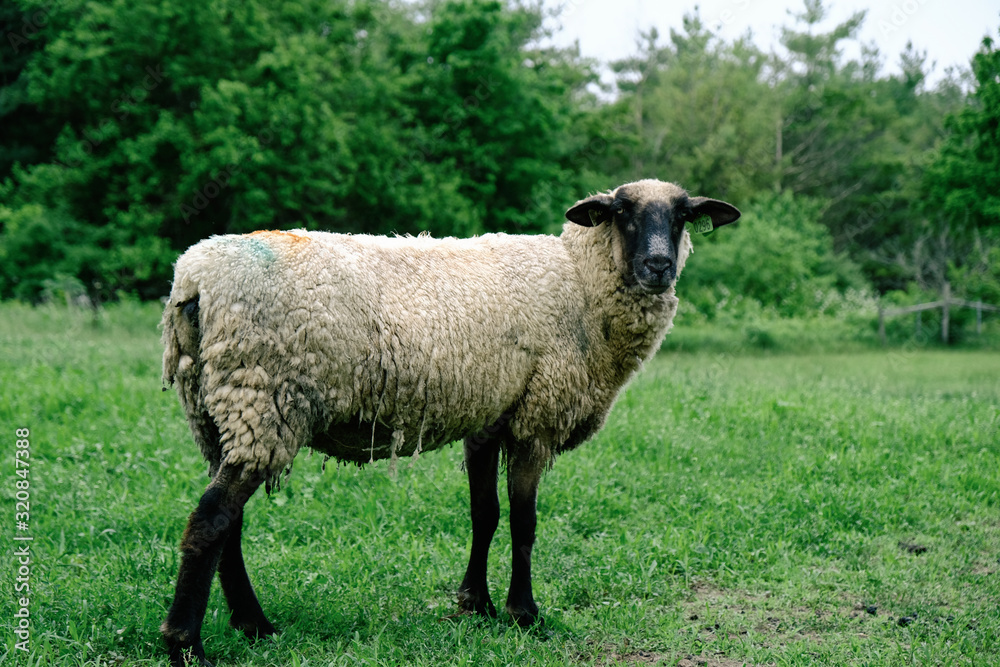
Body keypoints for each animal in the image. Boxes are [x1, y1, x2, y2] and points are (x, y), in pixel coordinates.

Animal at [156, 180, 736, 664]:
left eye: (682, 216)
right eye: (622, 213)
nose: (659, 266)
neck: (580, 284)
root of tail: (194, 279)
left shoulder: (490, 420)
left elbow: (485, 515)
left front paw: (475, 604)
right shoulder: (536, 418)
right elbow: (524, 522)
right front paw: (523, 614)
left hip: (216, 411)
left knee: (228, 523)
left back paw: (254, 626)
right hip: (264, 400)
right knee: (211, 520)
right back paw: (187, 644)